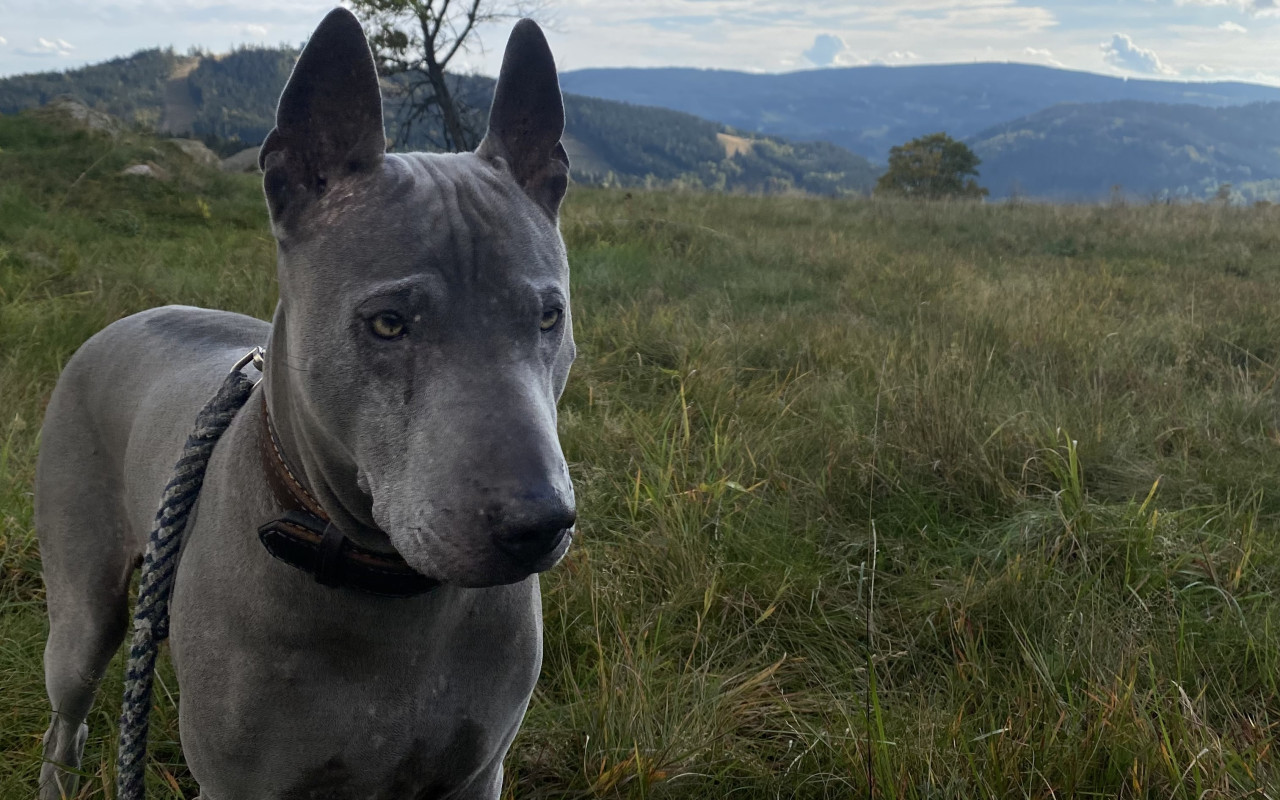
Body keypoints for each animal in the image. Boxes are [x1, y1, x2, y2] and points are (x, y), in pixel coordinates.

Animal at [36, 7, 576, 798]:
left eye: (548, 317)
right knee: (64, 724)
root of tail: (130, 316)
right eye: (388, 323)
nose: (538, 524)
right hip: (82, 612)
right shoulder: (241, 784)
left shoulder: (476, 773)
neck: (385, 594)